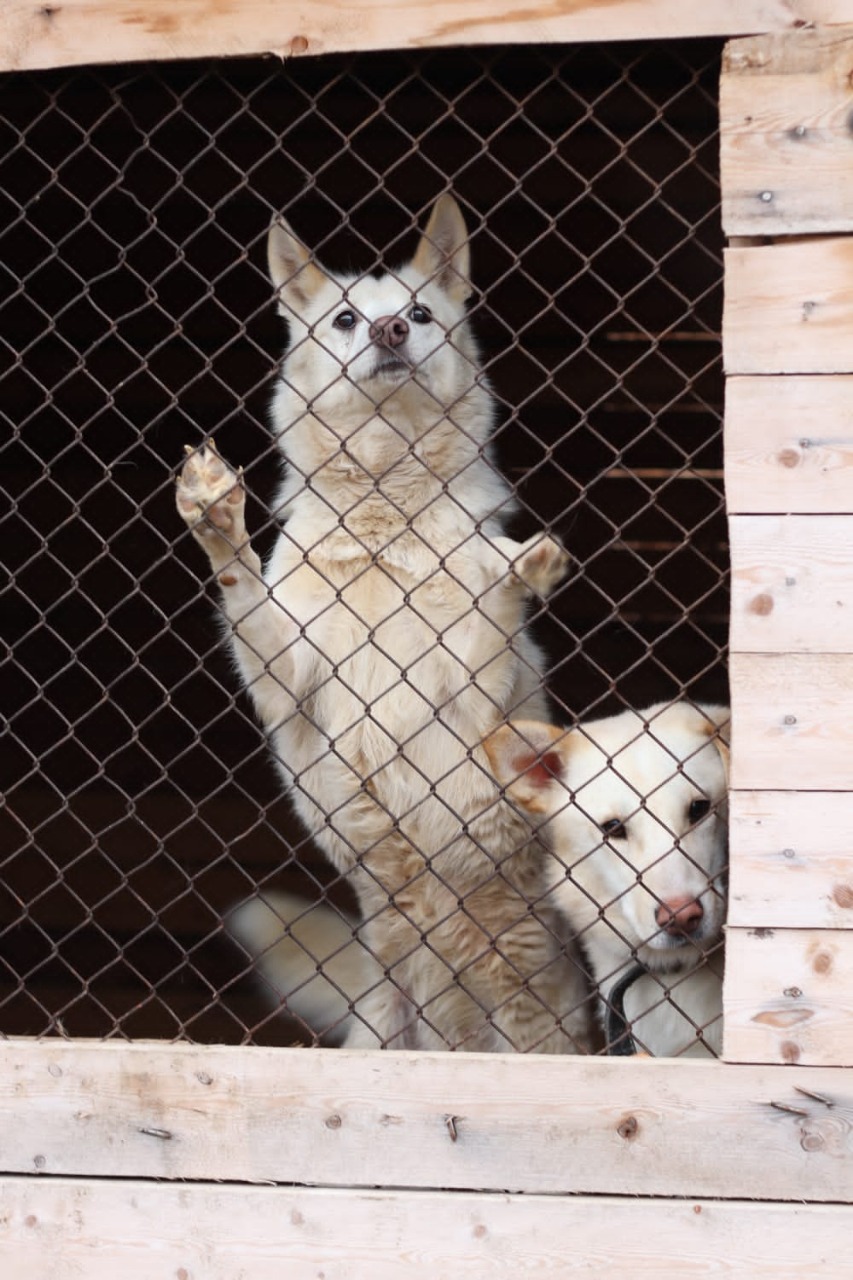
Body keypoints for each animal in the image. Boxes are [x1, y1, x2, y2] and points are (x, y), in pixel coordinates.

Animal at [175, 189, 591, 1049]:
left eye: (420, 313)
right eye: (344, 318)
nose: (390, 330)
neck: (381, 520)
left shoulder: (475, 696)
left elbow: (491, 605)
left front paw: (517, 571)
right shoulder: (286, 674)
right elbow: (243, 596)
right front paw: (217, 521)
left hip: (539, 1028)